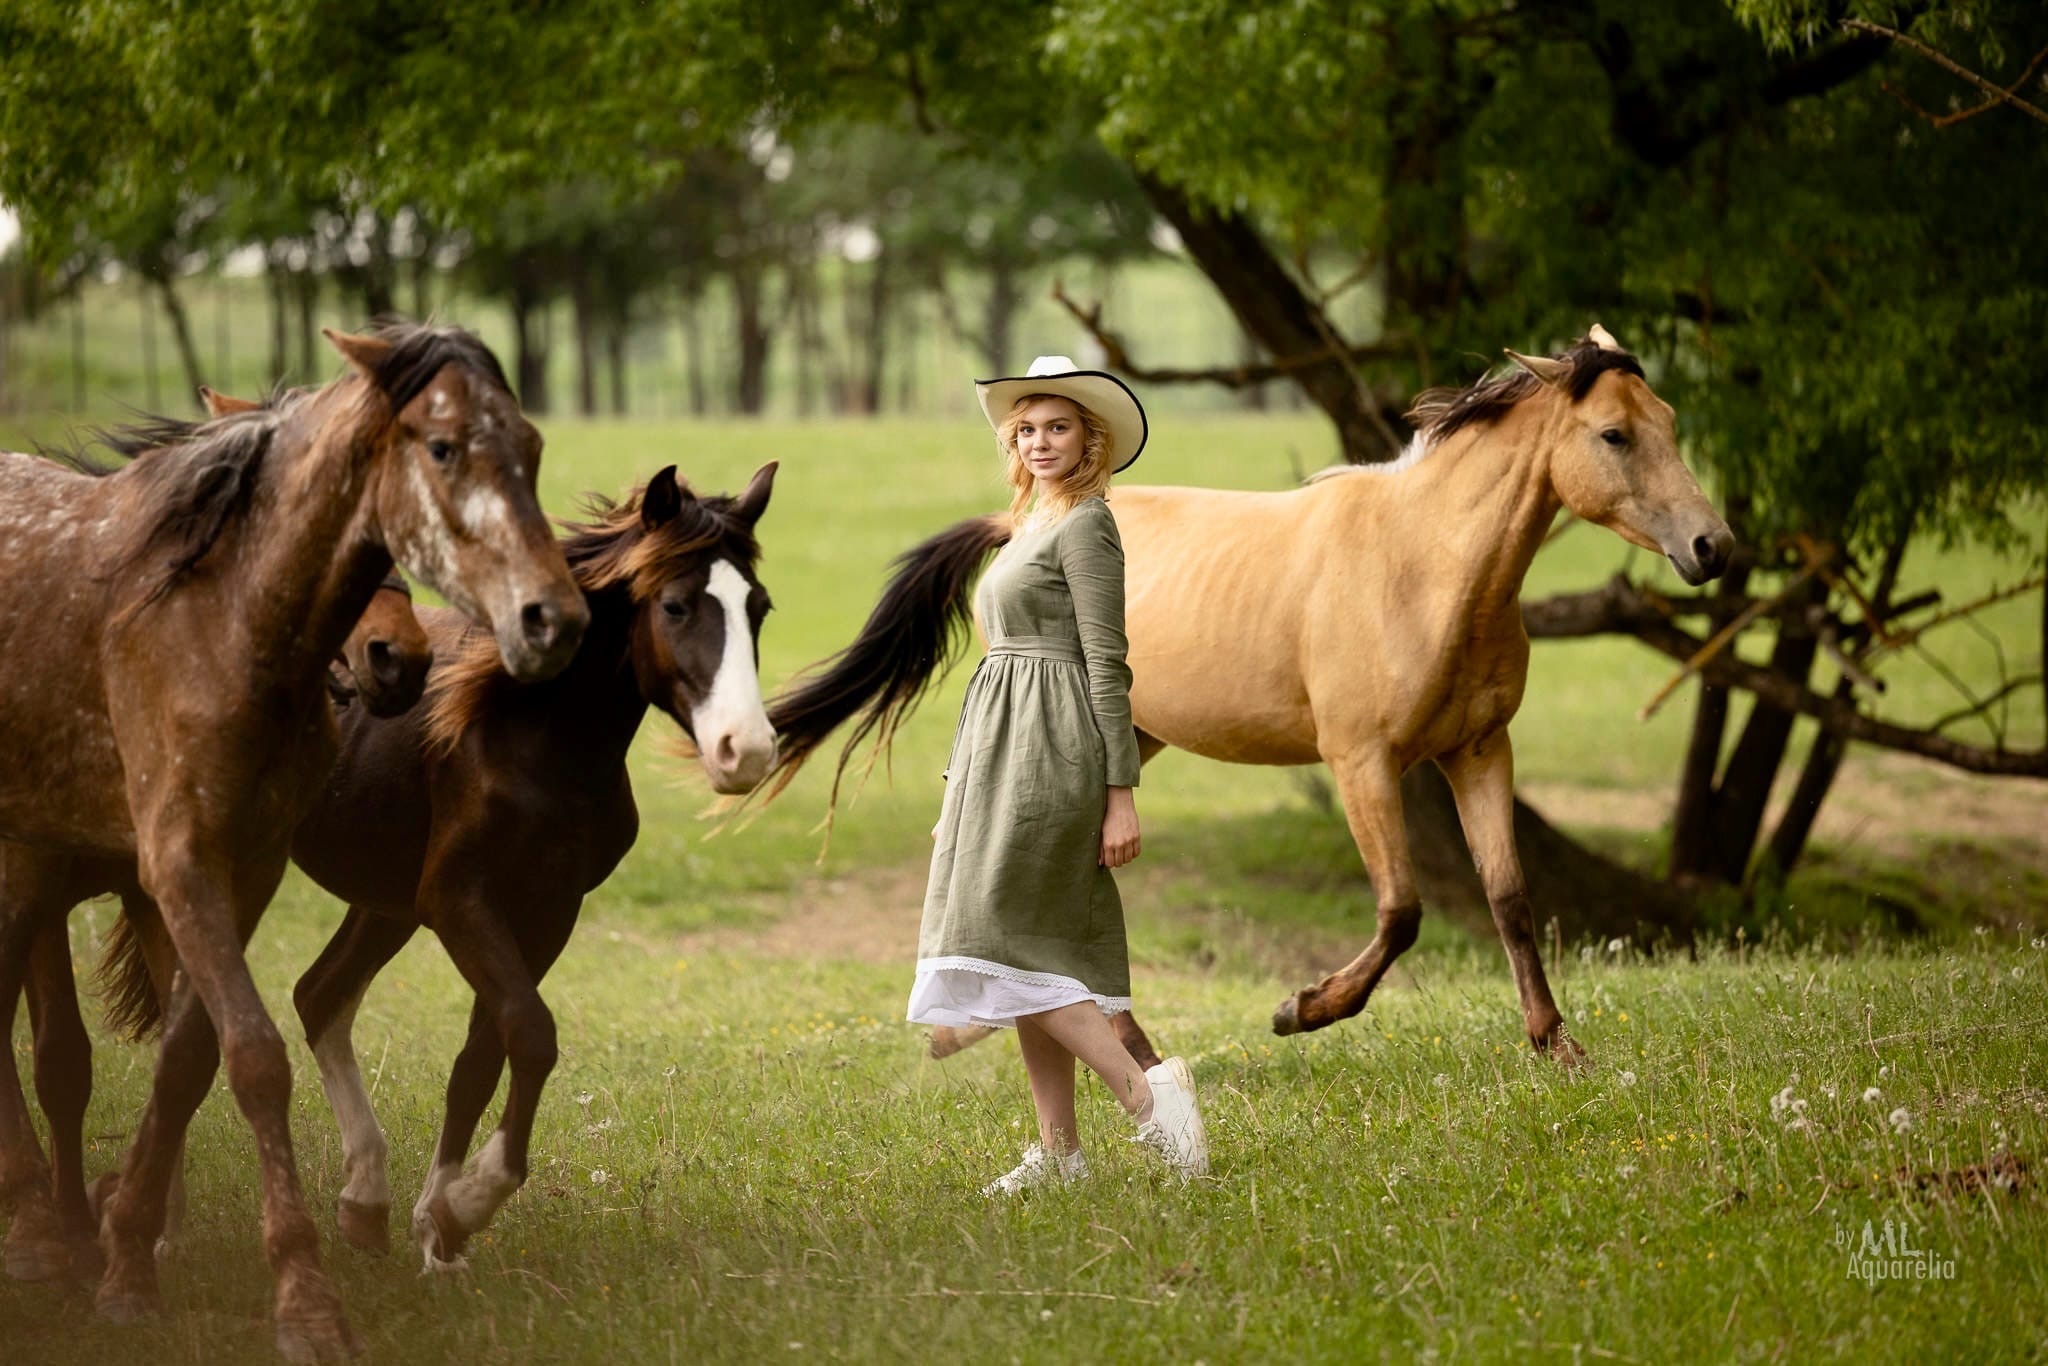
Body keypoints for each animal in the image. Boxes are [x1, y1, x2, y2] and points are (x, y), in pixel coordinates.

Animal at [0, 323, 589, 1359]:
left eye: (532, 445)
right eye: (443, 448)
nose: (549, 620)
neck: (222, 624)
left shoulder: (242, 868)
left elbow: (188, 1062)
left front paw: (128, 1252)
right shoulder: (169, 865)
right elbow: (247, 1059)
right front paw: (304, 1301)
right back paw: (35, 1229)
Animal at [757, 327, 1728, 1064]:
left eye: (1671, 422)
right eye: (1613, 435)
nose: (1712, 546)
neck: (1421, 563)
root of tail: (1017, 524)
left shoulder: (1479, 750)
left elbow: (1511, 900)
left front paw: (1557, 1045)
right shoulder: (1362, 762)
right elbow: (1402, 910)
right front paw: (1302, 1009)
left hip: (1130, 744)